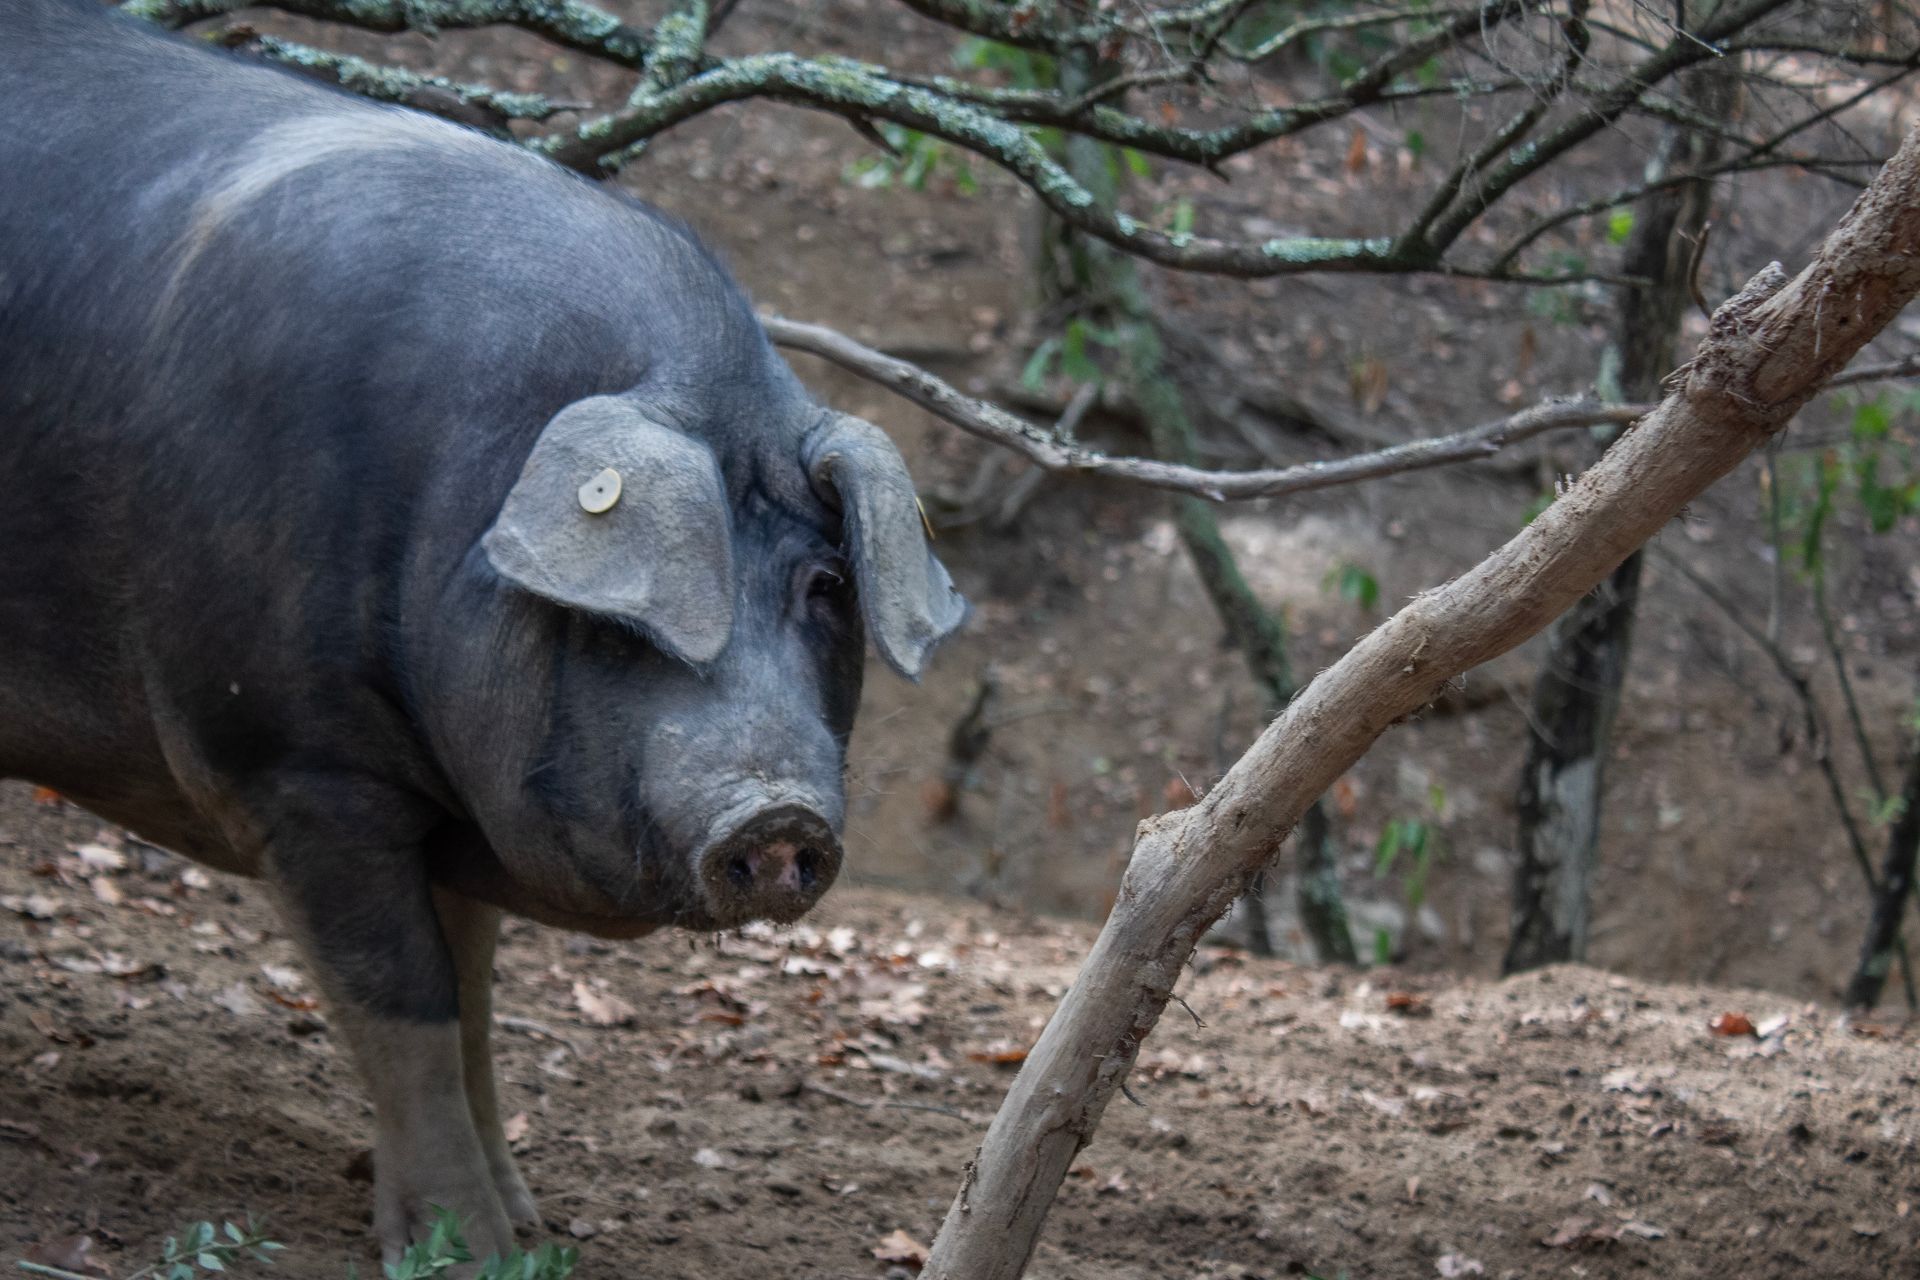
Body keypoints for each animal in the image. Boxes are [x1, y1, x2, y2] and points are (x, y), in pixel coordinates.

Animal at [0, 0, 965, 1259]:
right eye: (628, 626)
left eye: (824, 586)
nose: (779, 814)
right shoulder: (295, 768)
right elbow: (402, 1000)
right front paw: (465, 1250)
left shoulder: (454, 813)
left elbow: (472, 1004)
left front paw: (536, 1231)